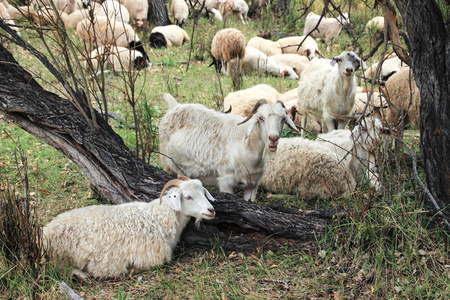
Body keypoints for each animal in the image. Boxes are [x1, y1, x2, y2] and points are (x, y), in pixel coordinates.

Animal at [42, 176, 216, 278]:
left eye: (203, 192)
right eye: (188, 196)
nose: (211, 210)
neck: (158, 220)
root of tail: (45, 232)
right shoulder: (153, 255)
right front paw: (132, 269)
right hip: (61, 256)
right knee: (58, 268)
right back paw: (82, 274)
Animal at [158, 94, 298, 202]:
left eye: (283, 119)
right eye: (261, 118)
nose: (273, 138)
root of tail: (175, 106)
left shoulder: (253, 185)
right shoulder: (226, 182)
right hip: (167, 164)